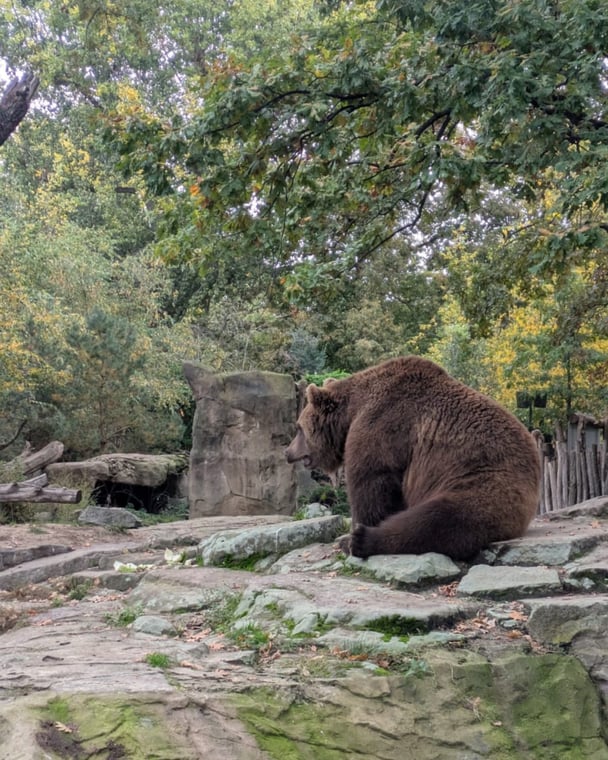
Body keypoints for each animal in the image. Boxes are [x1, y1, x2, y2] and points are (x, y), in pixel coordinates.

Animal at [286, 356, 541, 561]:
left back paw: (363, 540)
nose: (287, 452)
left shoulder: (382, 425)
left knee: (440, 519)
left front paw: (350, 534)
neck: (351, 413)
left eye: (298, 428)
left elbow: (371, 481)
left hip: (485, 480)